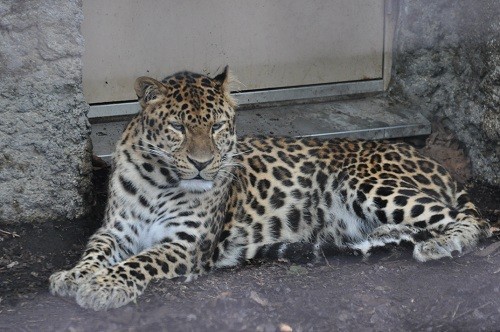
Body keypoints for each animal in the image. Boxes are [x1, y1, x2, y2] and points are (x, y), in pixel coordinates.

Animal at [48, 66, 490, 310]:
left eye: (216, 126)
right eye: (177, 127)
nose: (202, 163)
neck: (160, 179)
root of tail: (432, 162)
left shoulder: (186, 244)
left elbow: (140, 262)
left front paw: (103, 286)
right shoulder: (115, 230)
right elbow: (95, 251)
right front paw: (74, 275)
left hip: (367, 182)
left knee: (470, 220)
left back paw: (441, 244)